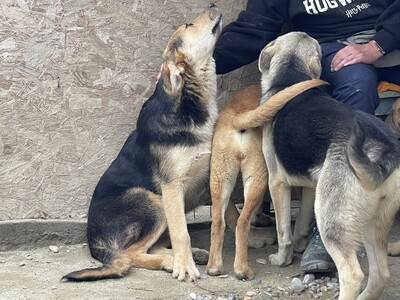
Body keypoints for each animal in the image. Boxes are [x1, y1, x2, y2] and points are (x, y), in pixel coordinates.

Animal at [63, 3, 225, 282]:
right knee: (131, 254)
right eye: (188, 25)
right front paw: (185, 267)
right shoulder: (172, 187)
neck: (189, 102)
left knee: (151, 246)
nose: (213, 5)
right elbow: (181, 232)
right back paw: (172, 262)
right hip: (152, 201)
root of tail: (94, 242)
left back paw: (187, 256)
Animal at [234, 31, 400, 298]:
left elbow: (283, 230)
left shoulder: (277, 183)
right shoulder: (311, 186)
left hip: (331, 217)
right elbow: (301, 222)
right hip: (372, 221)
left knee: (353, 274)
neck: (292, 78)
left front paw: (282, 259)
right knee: (381, 274)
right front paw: (300, 245)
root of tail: (384, 150)